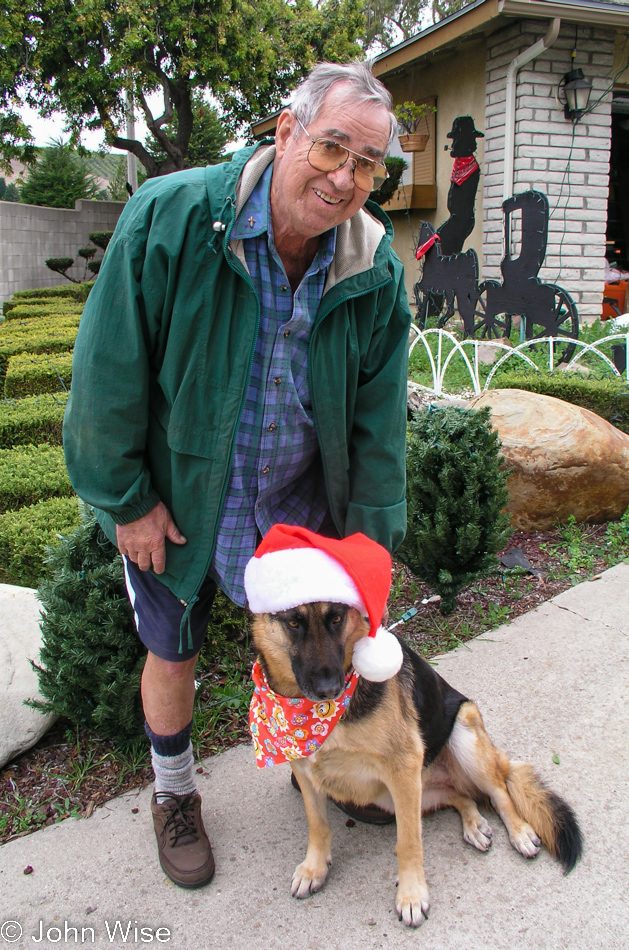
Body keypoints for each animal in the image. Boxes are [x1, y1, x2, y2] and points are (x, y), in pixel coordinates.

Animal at [248, 608, 580, 924]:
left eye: (337, 618)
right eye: (293, 623)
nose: (330, 690)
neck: (311, 714)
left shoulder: (402, 768)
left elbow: (408, 842)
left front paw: (411, 896)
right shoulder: (304, 769)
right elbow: (317, 825)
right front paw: (314, 869)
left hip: (463, 733)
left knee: (499, 792)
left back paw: (519, 831)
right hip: (397, 796)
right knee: (462, 796)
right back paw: (473, 824)